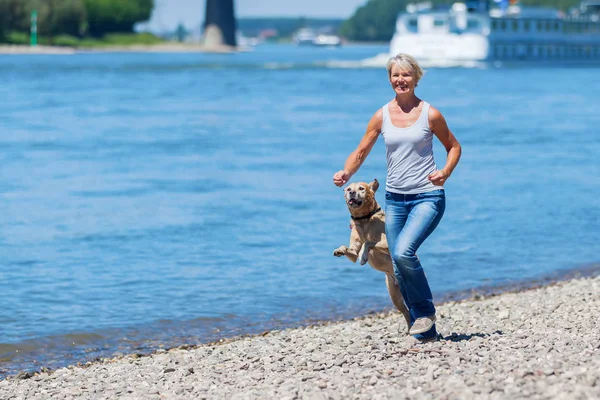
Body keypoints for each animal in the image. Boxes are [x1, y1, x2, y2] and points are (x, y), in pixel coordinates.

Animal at [332, 180, 412, 330]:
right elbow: (349, 248)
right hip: (394, 296)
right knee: (406, 312)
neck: (364, 219)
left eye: (361, 188)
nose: (352, 193)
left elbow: (368, 243)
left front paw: (363, 257)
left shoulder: (387, 243)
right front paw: (339, 250)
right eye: (348, 189)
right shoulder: (353, 252)